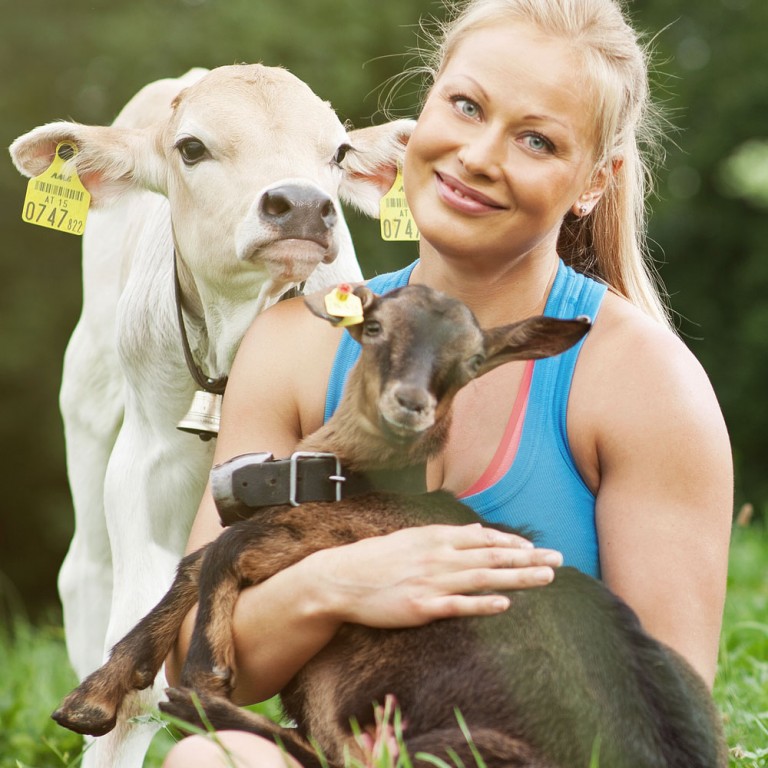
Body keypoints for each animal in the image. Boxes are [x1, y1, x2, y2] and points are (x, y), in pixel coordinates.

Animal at [10, 66, 414, 768]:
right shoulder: (142, 463)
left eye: (337, 153)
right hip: (86, 396)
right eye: (192, 148)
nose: (302, 204)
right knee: (84, 572)